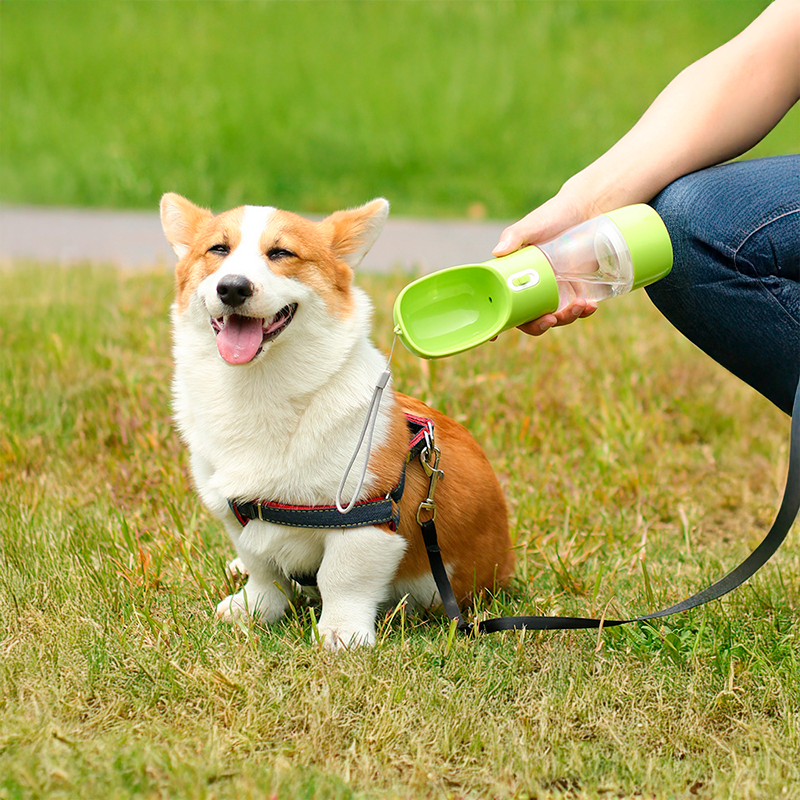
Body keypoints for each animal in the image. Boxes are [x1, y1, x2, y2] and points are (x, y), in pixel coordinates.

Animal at [159, 194, 516, 648]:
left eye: (281, 253)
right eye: (218, 249)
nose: (233, 287)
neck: (259, 389)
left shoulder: (365, 519)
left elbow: (341, 578)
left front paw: (340, 635)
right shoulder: (236, 515)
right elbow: (262, 569)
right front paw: (253, 608)